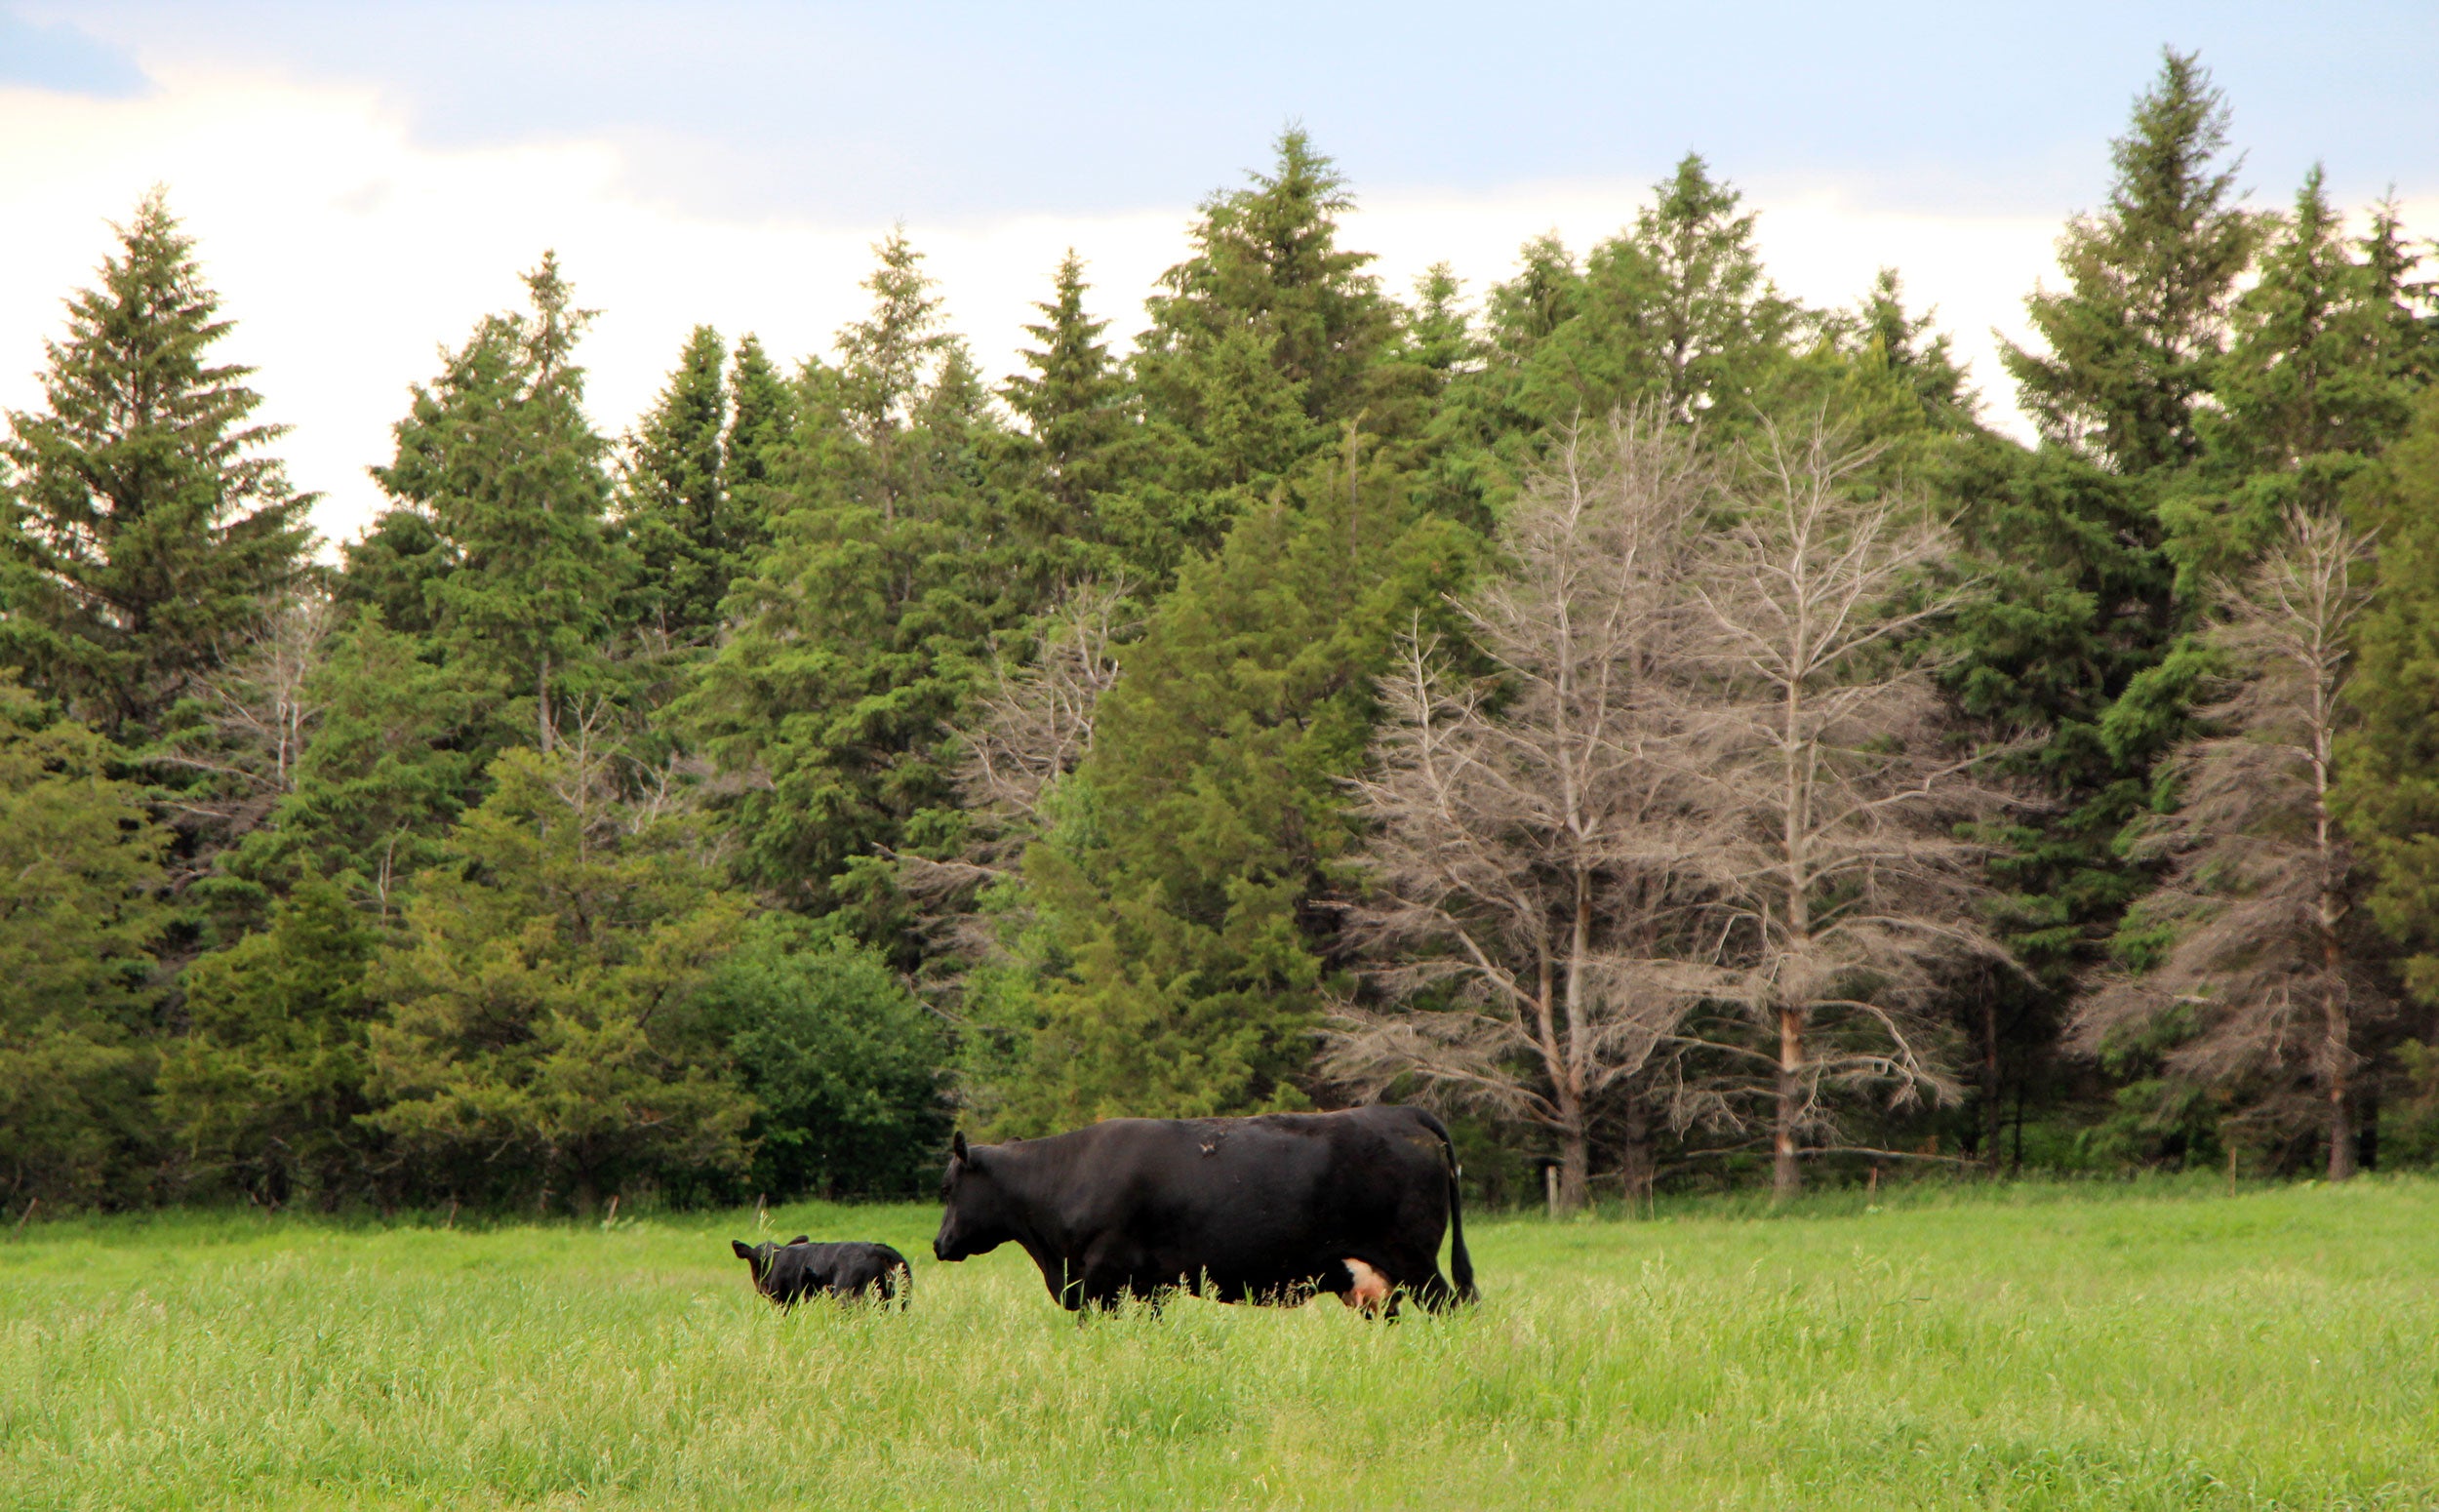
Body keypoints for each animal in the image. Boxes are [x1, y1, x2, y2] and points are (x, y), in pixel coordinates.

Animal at [927, 1097, 1463, 1307]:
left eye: (947, 1189)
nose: (938, 1243)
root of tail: (1401, 1113)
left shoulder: (1102, 1279)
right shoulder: (1146, 1289)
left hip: (1415, 1260)